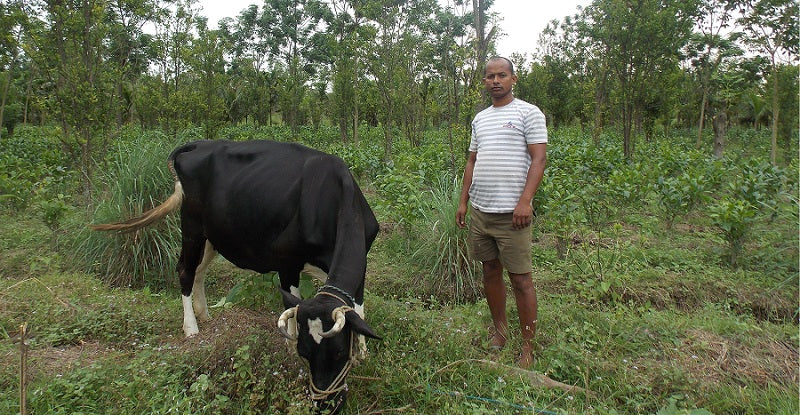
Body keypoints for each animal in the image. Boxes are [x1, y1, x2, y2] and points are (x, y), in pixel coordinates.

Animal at [89, 140, 382, 412]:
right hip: (192, 224)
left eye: (340, 351)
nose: (325, 405)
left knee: (199, 272)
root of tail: (199, 144)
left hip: (213, 235)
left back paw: (205, 314)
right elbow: (291, 307)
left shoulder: (361, 266)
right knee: (185, 269)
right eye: (305, 352)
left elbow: (358, 307)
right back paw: (191, 327)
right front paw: (288, 349)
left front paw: (363, 352)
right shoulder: (286, 261)